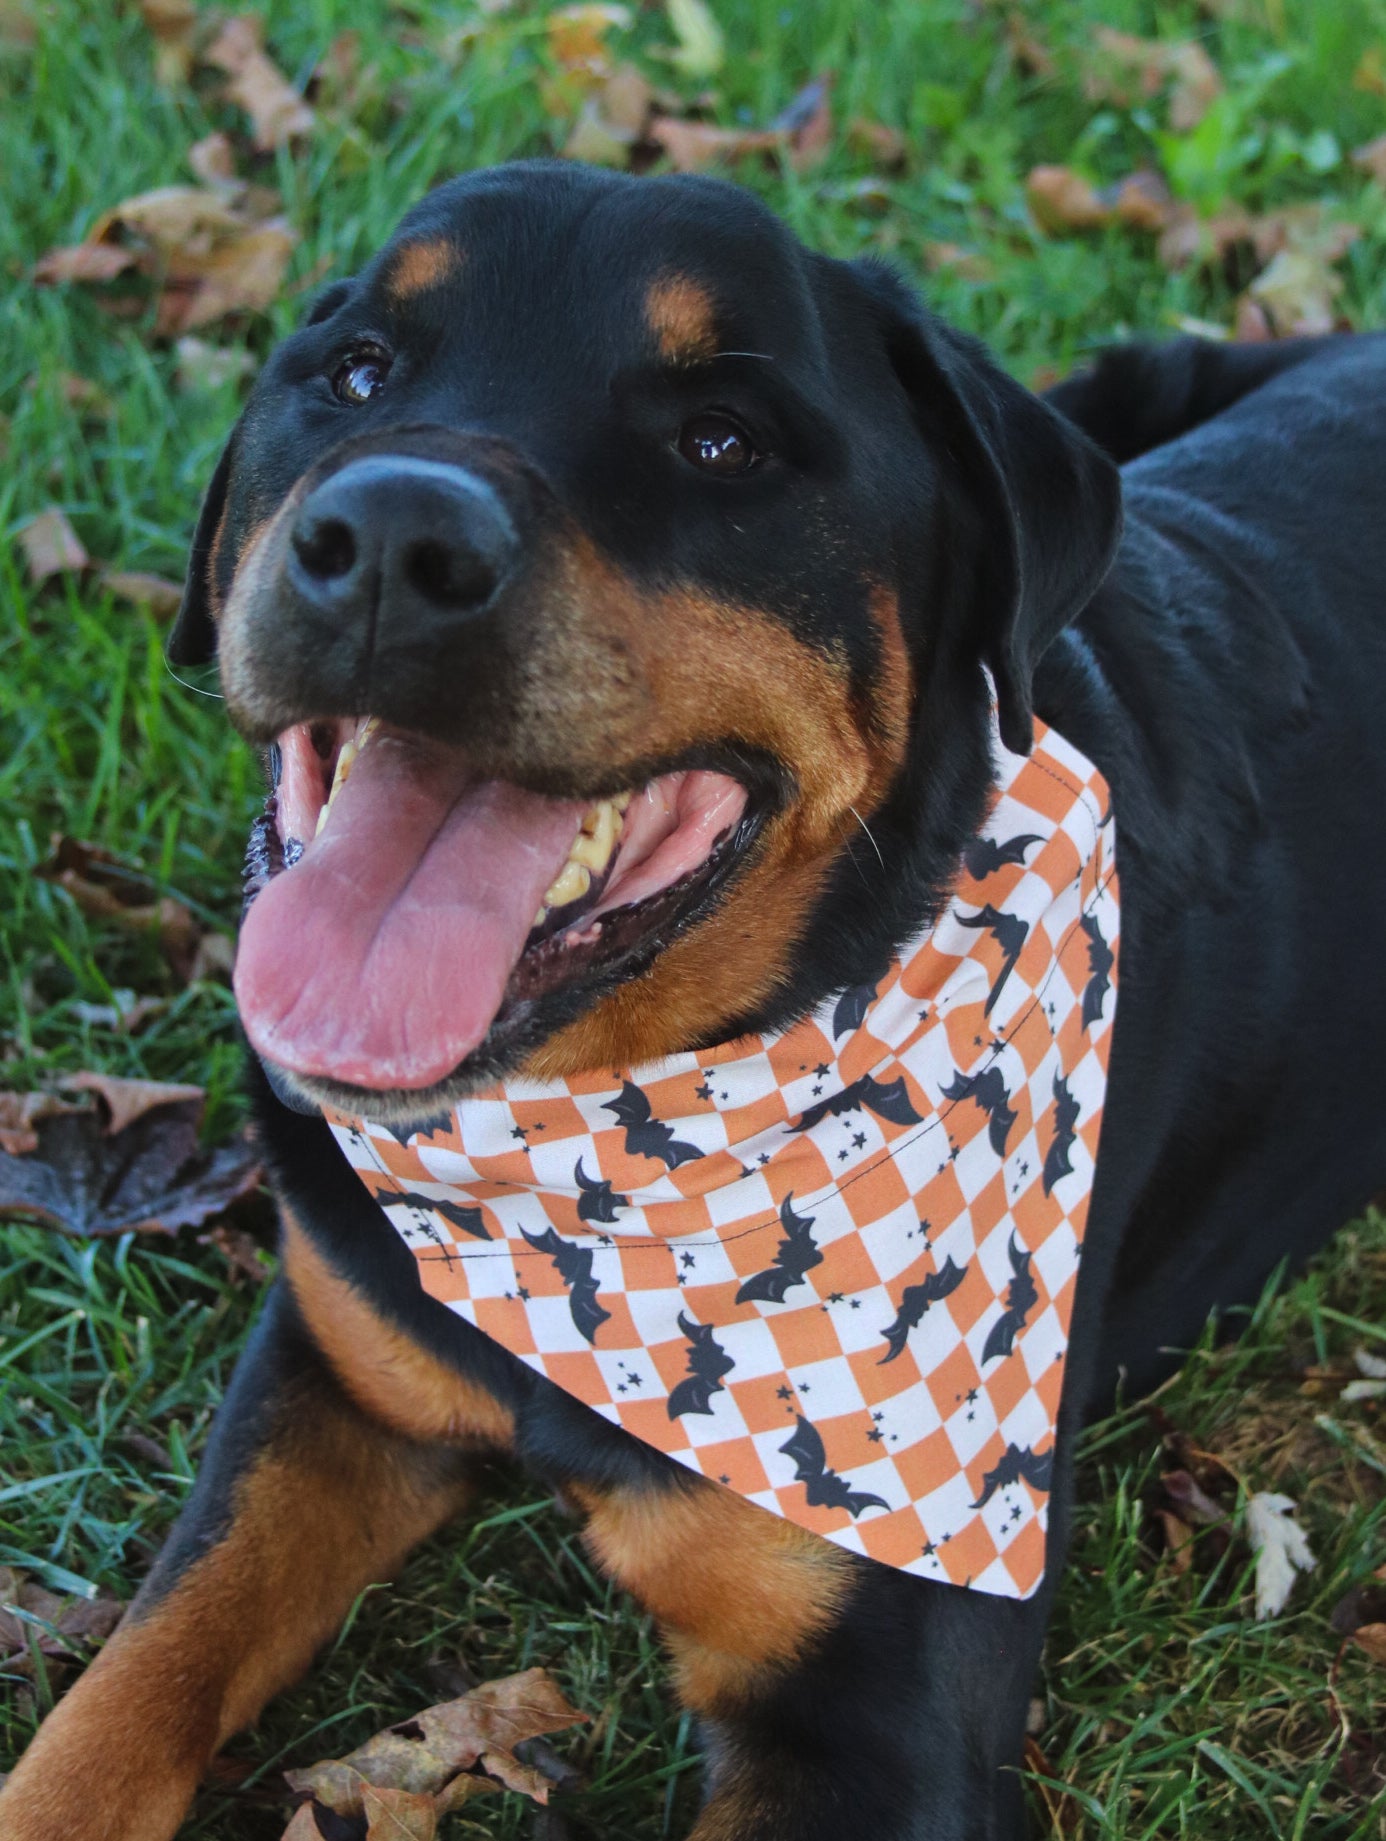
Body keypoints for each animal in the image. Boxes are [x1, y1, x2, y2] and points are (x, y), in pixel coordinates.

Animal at [2, 162, 1384, 1841]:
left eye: (723, 440)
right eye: (358, 372)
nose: (389, 533)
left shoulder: (870, 1712)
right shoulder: (329, 1370)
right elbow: (126, 1687)